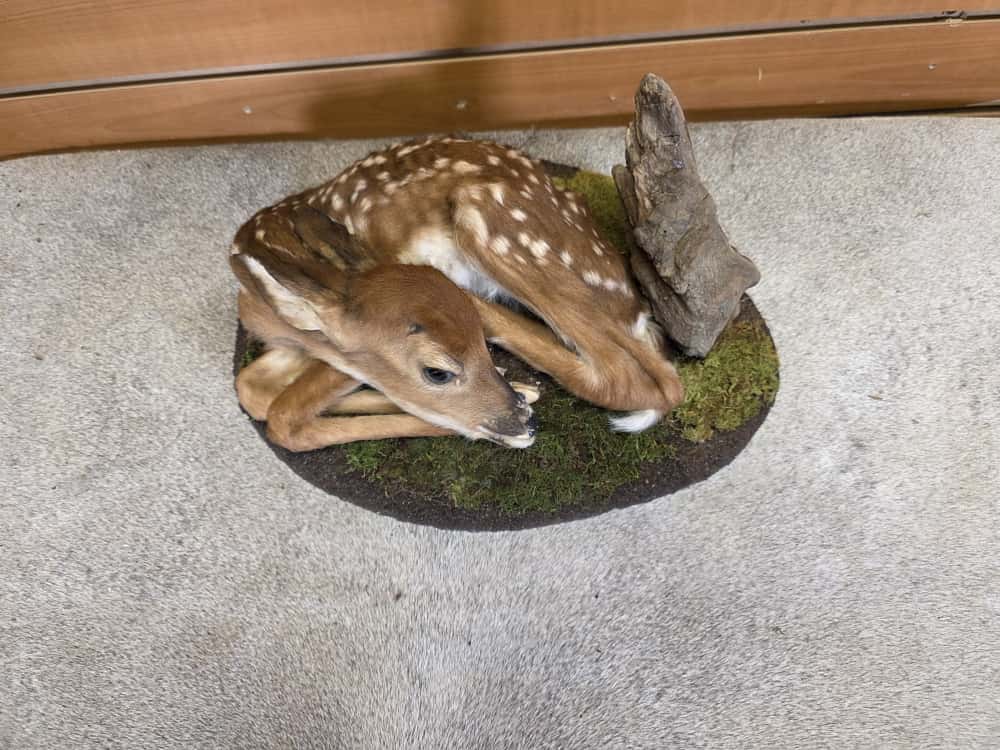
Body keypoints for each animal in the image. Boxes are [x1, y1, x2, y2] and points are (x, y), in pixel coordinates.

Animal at [229, 136, 684, 452]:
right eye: (438, 372)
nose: (524, 422)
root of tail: (635, 306)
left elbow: (284, 416)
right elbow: (251, 390)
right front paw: (520, 393)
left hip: (490, 219)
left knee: (641, 379)